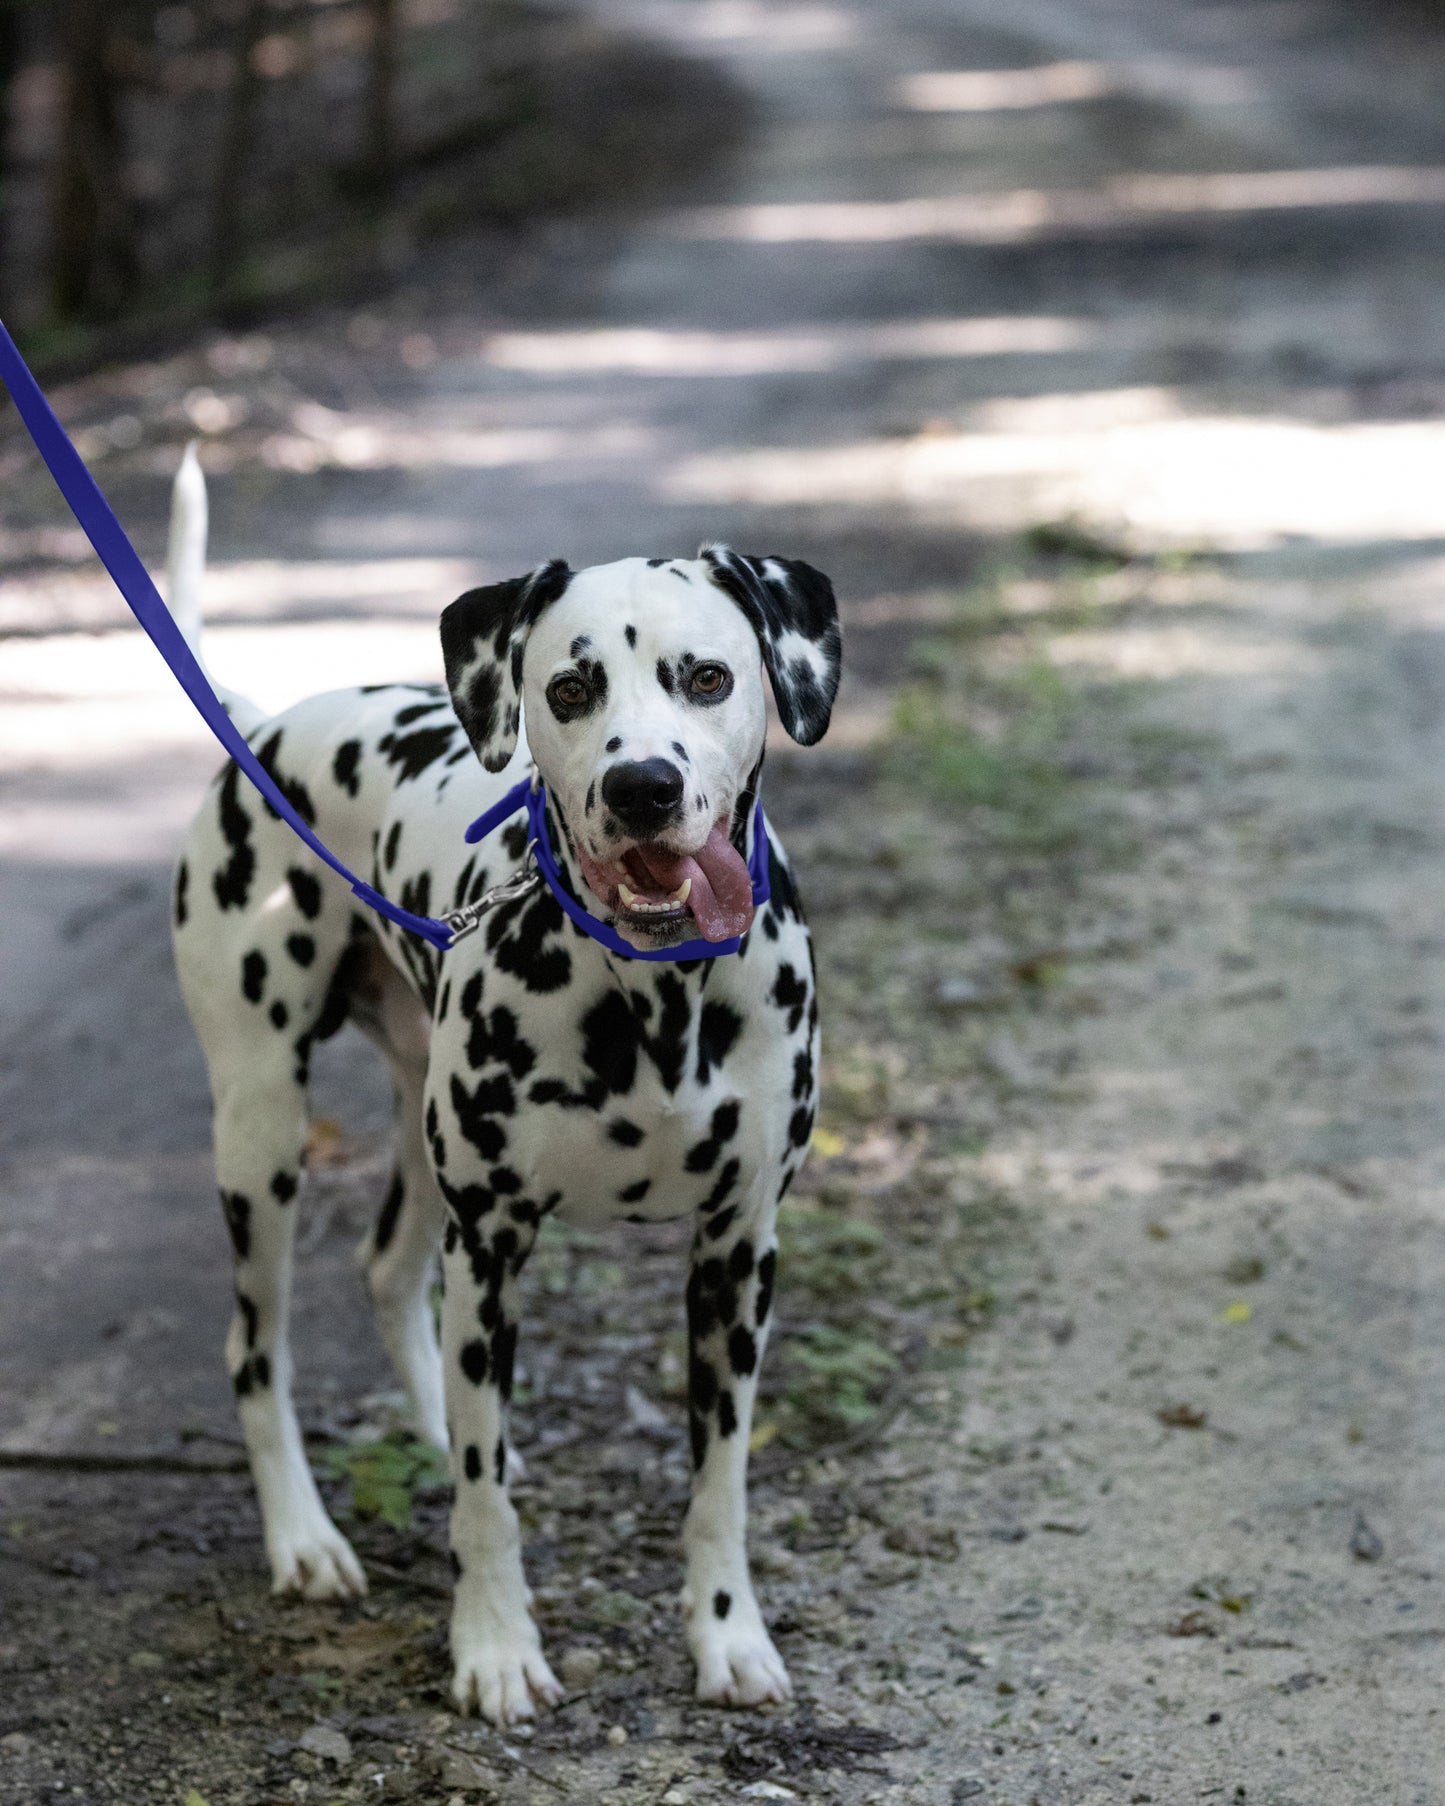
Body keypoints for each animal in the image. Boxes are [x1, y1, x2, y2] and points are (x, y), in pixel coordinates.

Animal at [166, 451, 845, 1719]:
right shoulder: (490, 1248)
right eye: (569, 688)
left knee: (386, 1273)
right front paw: (490, 1648)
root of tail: (266, 724)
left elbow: (718, 1484)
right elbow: (484, 1506)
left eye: (708, 676)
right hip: (262, 1134)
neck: (651, 990)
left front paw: (727, 1635)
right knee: (254, 1350)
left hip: (412, 1128)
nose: (642, 788)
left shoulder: (738, 1253)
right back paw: (304, 1539)